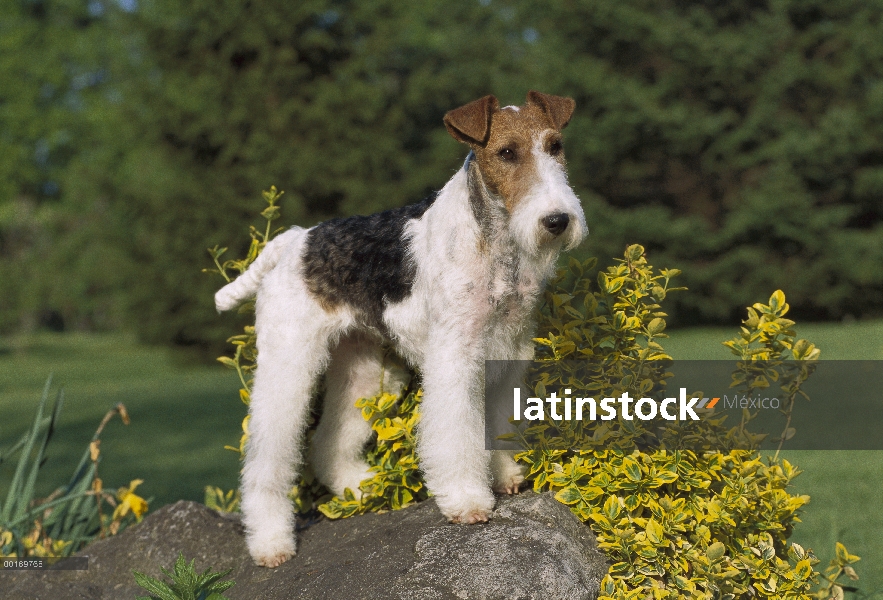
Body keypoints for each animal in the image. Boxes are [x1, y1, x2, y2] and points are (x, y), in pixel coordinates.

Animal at [214, 90, 588, 568]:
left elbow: (498, 425)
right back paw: (271, 543)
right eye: (507, 153)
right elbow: (456, 434)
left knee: (330, 442)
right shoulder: (455, 356)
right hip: (289, 361)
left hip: (366, 370)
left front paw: (505, 476)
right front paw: (468, 501)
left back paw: (360, 487)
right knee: (268, 456)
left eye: (555, 145)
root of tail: (296, 238)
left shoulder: (509, 354)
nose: (557, 220)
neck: (493, 240)